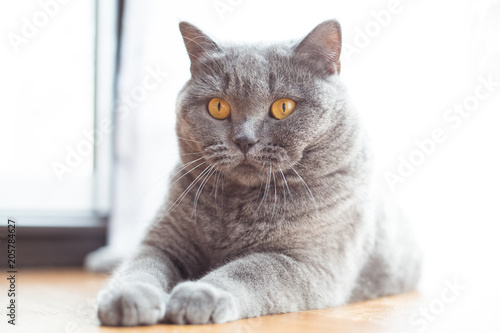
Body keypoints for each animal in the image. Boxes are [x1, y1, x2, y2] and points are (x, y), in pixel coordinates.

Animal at [95, 17, 420, 324]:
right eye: (217, 107)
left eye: (283, 107)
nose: (244, 139)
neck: (235, 208)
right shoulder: (163, 242)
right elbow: (140, 266)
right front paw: (128, 297)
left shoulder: (308, 262)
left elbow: (247, 270)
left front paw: (198, 295)